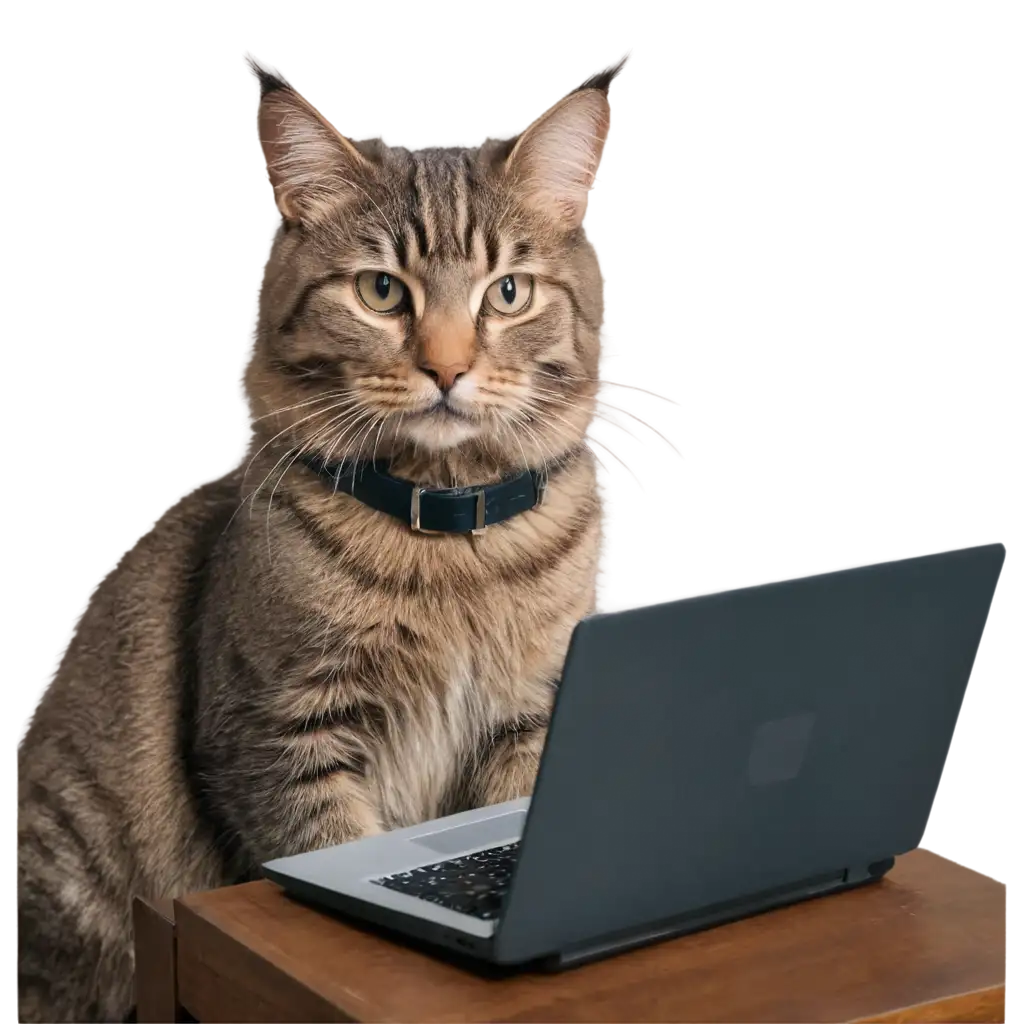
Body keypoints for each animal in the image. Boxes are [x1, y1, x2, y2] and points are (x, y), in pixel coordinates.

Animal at [16, 59, 614, 1019]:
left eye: (508, 293)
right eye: (381, 291)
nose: (447, 368)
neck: (449, 544)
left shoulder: (530, 719)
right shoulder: (281, 732)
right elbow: (329, 842)